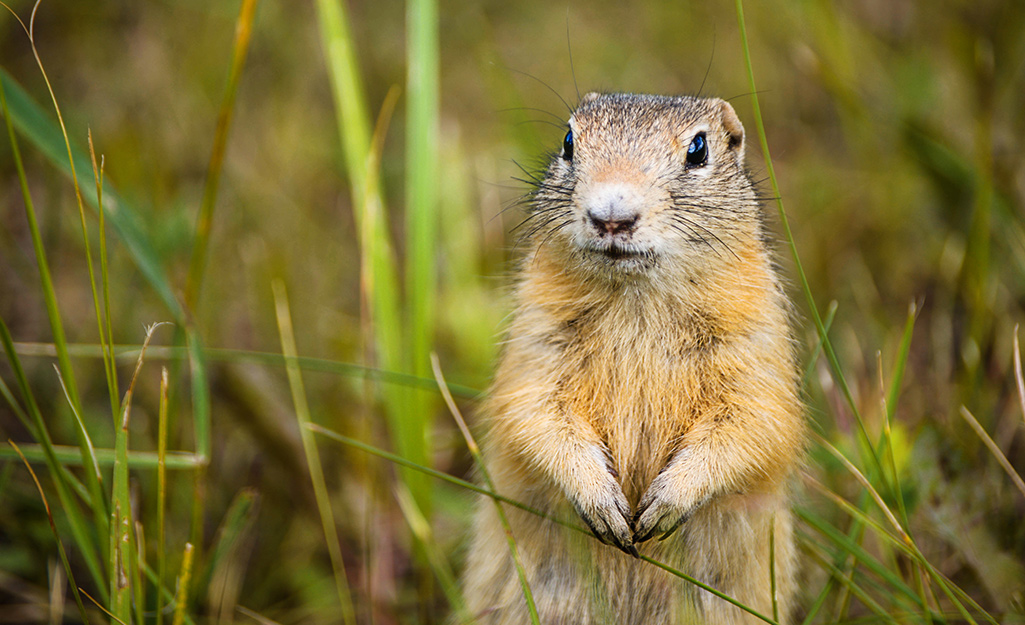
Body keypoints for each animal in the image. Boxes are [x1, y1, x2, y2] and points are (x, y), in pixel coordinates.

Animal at [461, 93, 803, 622]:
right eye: (568, 141)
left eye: (698, 149)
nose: (611, 216)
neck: (636, 298)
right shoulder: (536, 339)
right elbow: (532, 412)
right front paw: (605, 507)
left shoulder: (755, 343)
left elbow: (752, 423)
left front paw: (661, 507)